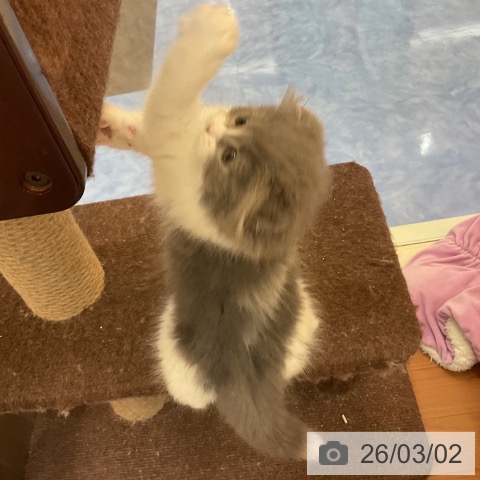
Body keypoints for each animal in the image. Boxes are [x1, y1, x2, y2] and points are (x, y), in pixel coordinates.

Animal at [97, 3, 330, 459]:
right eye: (239, 119)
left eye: (229, 157)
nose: (212, 127)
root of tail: (247, 372)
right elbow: (141, 129)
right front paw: (105, 123)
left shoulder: (174, 151)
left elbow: (168, 95)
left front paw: (213, 27)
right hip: (304, 324)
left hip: (172, 357)